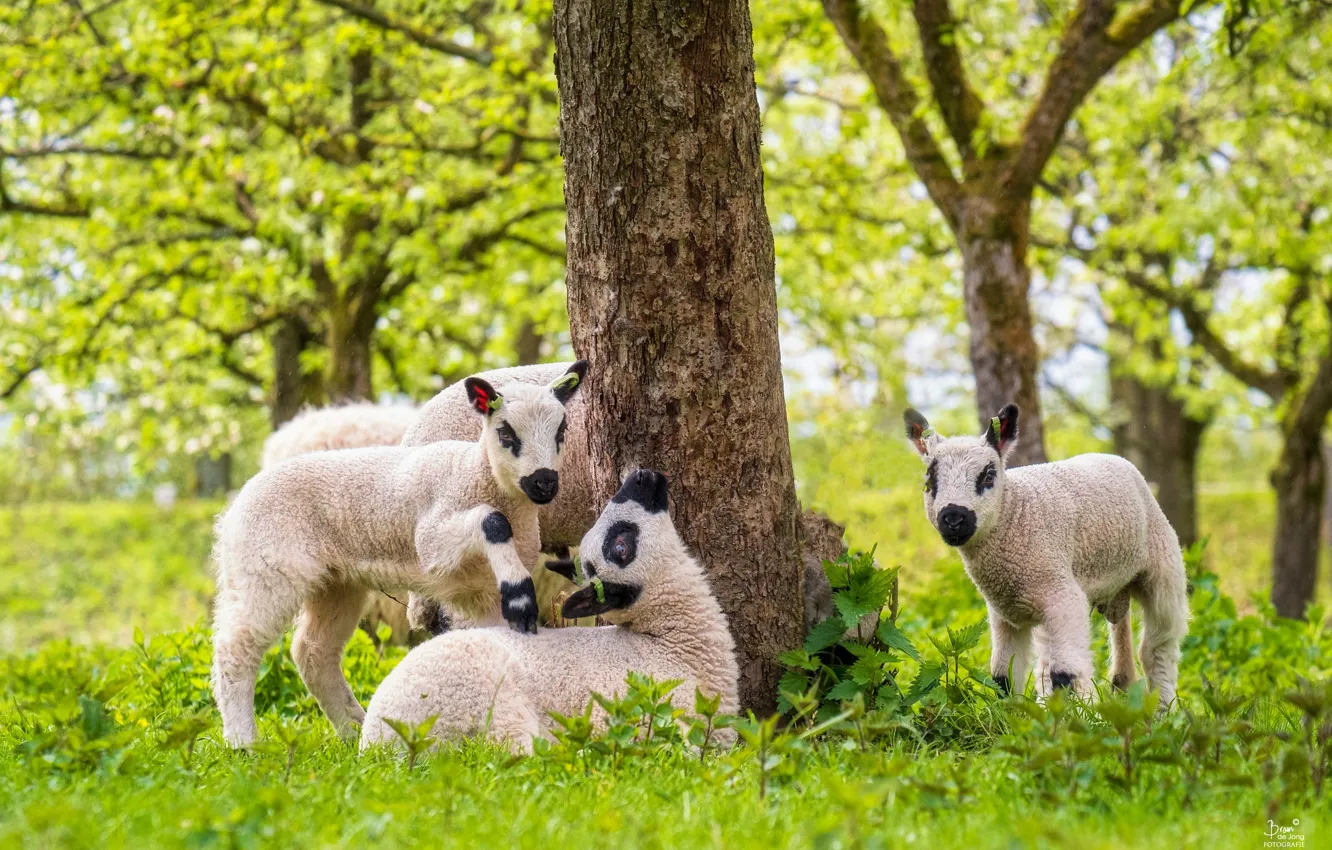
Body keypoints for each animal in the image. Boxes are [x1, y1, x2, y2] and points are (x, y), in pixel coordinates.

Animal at [210, 362, 586, 751]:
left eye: (562, 429)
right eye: (506, 433)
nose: (544, 482)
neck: (473, 472)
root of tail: (235, 505)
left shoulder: (482, 594)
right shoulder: (432, 542)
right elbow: (491, 522)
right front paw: (520, 594)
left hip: (335, 583)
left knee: (313, 652)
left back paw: (353, 730)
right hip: (265, 569)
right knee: (235, 649)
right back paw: (242, 741)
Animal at [359, 468, 745, 756]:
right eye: (621, 547)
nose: (641, 476)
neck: (675, 646)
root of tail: (378, 739)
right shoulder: (651, 718)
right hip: (487, 704)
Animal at [900, 405, 1193, 703]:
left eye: (988, 477)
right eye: (930, 482)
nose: (953, 518)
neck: (1014, 514)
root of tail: (1115, 458)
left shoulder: (1063, 597)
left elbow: (1065, 675)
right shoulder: (1005, 614)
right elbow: (1004, 678)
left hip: (1164, 564)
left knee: (1159, 647)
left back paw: (1163, 708)